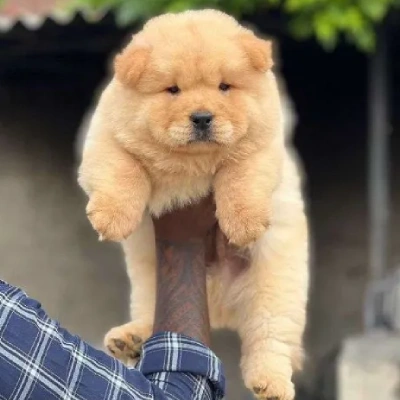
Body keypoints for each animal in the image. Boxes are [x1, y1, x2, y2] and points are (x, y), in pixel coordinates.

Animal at [79, 9, 310, 400]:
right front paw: (111, 219)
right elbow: (121, 168)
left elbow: (241, 172)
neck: (191, 163)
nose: (202, 117)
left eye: (224, 87)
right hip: (151, 280)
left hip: (276, 289)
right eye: (173, 90)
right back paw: (129, 339)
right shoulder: (105, 137)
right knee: (150, 317)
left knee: (270, 341)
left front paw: (244, 223)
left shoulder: (263, 143)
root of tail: (219, 304)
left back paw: (271, 384)